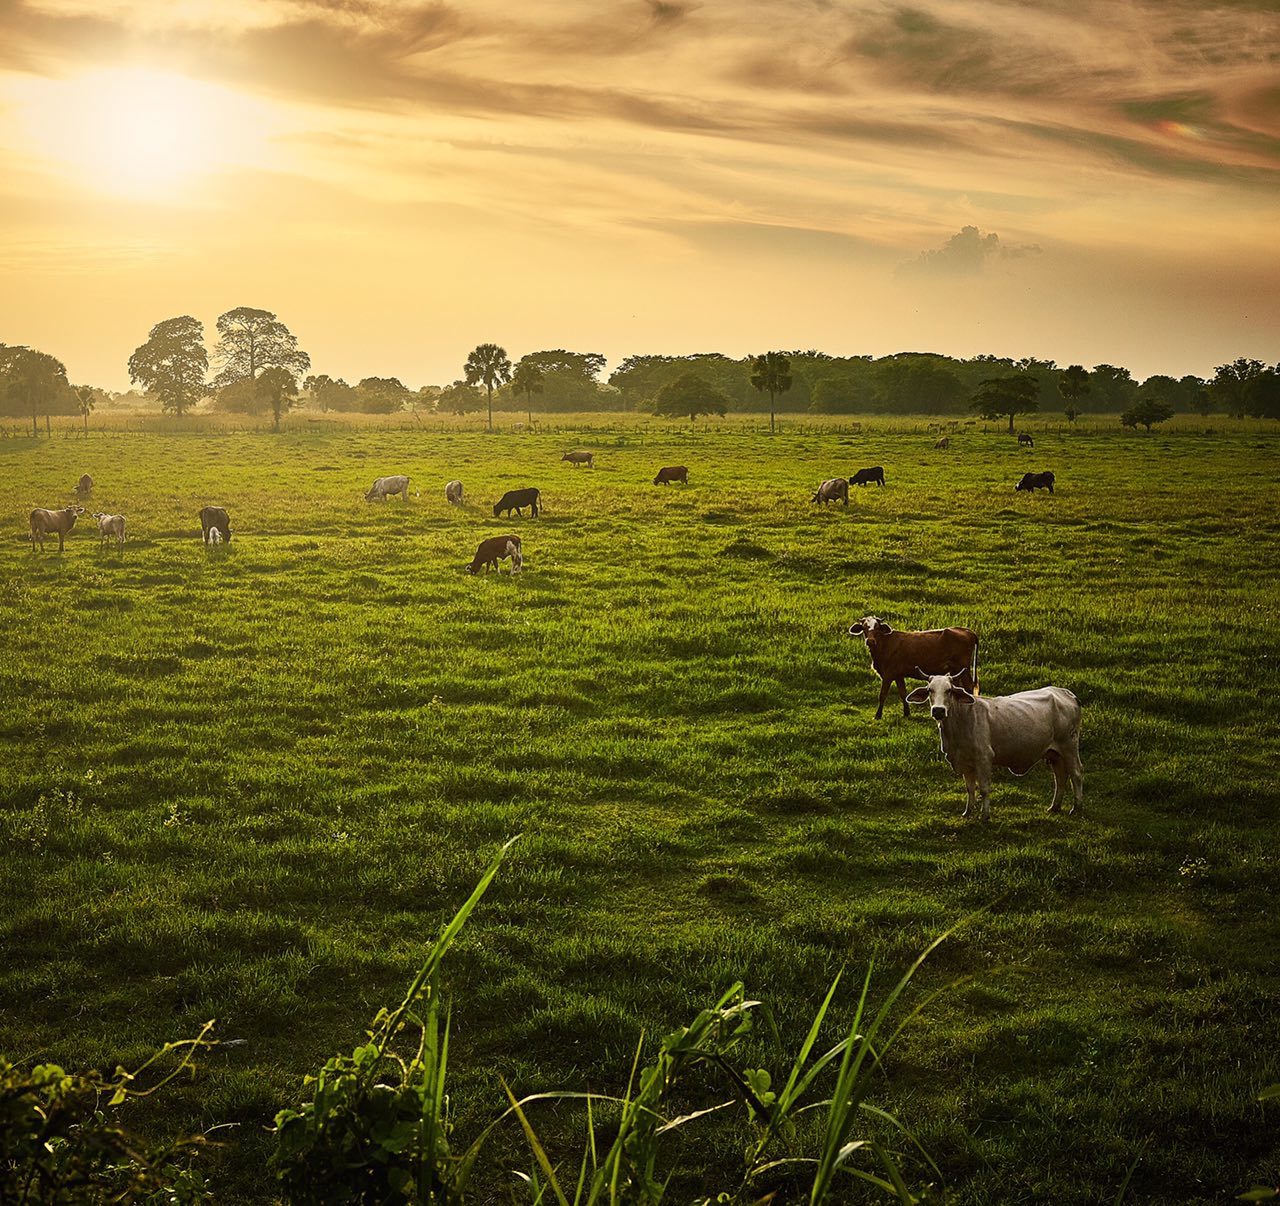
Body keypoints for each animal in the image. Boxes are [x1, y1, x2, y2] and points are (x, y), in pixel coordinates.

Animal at [849, 619, 977, 722]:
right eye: (864, 628)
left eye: (877, 627)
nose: (870, 641)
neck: (886, 644)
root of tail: (966, 630)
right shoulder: (898, 675)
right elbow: (903, 693)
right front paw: (906, 713)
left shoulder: (888, 675)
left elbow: (882, 695)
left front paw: (878, 715)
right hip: (955, 671)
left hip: (963, 669)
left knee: (969, 687)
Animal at [906, 675, 1085, 824]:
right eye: (930, 690)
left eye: (949, 690)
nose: (938, 710)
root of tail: (1066, 692)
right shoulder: (965, 762)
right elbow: (970, 788)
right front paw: (967, 812)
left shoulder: (984, 758)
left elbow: (984, 789)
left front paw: (985, 816)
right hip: (1055, 754)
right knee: (1060, 777)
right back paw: (1054, 807)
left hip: (1069, 747)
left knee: (1076, 774)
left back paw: (1076, 808)